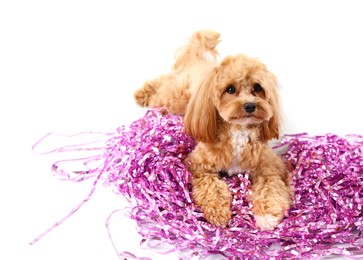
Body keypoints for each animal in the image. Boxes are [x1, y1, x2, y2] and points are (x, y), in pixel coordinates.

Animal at [135, 30, 294, 230]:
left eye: (257, 87)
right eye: (230, 89)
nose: (250, 105)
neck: (238, 131)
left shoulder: (270, 166)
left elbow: (271, 187)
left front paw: (267, 215)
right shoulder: (198, 165)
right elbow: (212, 187)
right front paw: (218, 212)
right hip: (174, 101)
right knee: (165, 83)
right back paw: (143, 93)